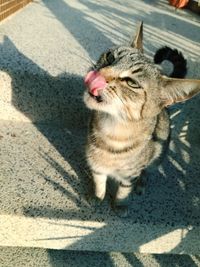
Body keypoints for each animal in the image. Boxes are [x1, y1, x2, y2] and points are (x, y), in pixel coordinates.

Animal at [83, 22, 200, 217]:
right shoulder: (96, 164)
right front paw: (97, 197)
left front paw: (120, 204)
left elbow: (124, 190)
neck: (112, 132)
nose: (98, 73)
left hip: (158, 157)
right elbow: (99, 182)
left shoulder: (130, 174)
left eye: (132, 82)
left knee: (148, 172)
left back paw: (141, 185)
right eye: (110, 57)